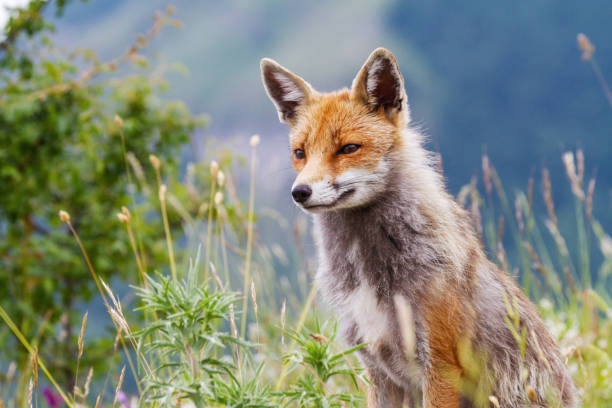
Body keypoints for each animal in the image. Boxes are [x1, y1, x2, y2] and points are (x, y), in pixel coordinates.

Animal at [260, 48, 576, 408]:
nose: (300, 192)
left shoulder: (439, 364)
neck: (367, 270)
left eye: (349, 148)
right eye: (300, 153)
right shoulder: (377, 368)